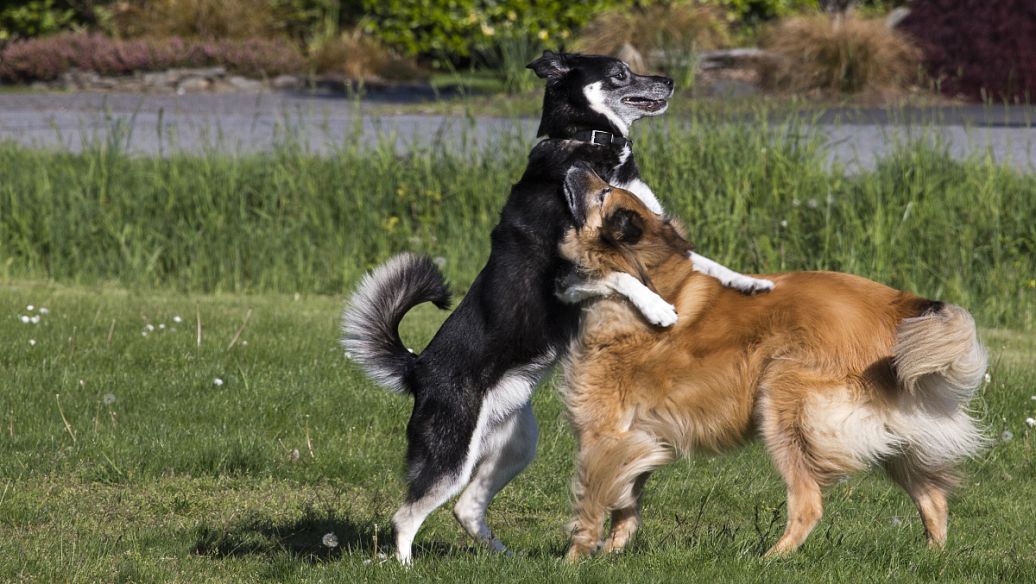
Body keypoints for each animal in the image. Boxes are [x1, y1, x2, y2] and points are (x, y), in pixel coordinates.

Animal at [343, 52, 774, 563]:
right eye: (620, 72)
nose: (669, 81)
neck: (587, 145)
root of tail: (418, 367)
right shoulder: (566, 279)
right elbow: (623, 276)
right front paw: (659, 309)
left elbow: (703, 262)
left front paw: (750, 282)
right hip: (450, 452)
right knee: (406, 514)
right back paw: (406, 565)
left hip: (514, 445)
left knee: (466, 508)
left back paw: (506, 559)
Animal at [559, 168, 986, 559]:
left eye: (605, 192)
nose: (577, 166)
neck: (642, 276)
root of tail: (896, 306)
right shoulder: (639, 437)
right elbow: (626, 505)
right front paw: (613, 551)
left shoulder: (604, 435)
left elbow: (591, 504)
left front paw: (574, 561)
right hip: (897, 437)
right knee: (933, 497)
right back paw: (932, 555)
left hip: (785, 405)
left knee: (809, 503)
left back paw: (769, 558)